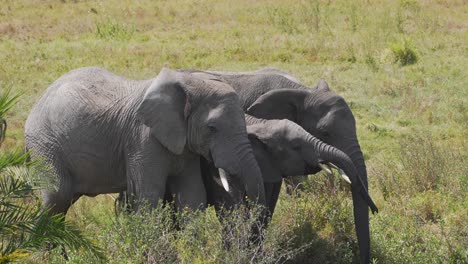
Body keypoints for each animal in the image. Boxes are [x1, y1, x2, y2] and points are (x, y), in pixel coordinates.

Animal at [25, 67, 266, 218]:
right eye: (212, 128)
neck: (187, 83)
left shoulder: (183, 146)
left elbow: (192, 195)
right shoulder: (142, 139)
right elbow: (149, 194)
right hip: (44, 145)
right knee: (57, 197)